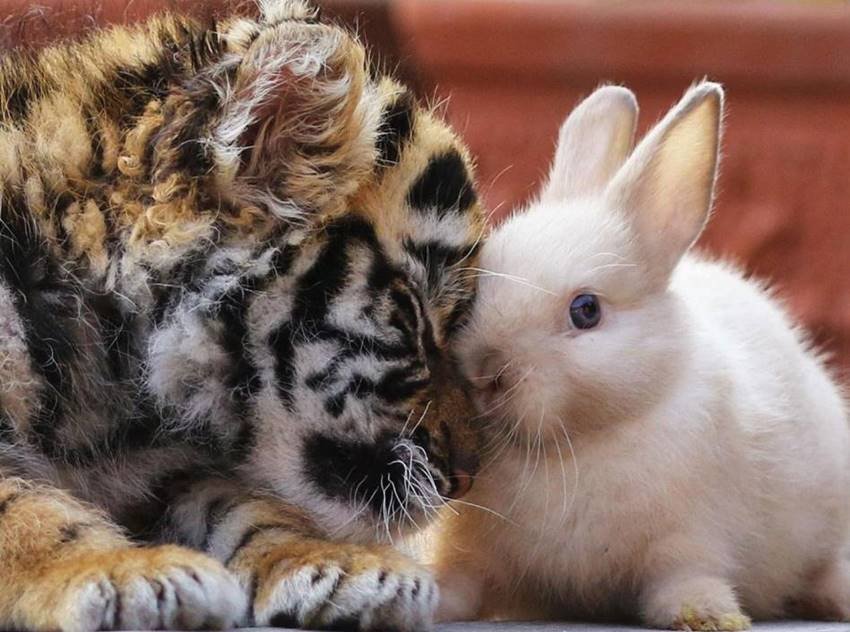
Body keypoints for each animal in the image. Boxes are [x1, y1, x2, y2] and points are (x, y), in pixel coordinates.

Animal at [0, 1, 486, 630]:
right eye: (409, 310)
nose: (469, 475)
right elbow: (19, 507)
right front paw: (122, 576)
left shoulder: (171, 468)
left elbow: (242, 505)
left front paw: (339, 567)